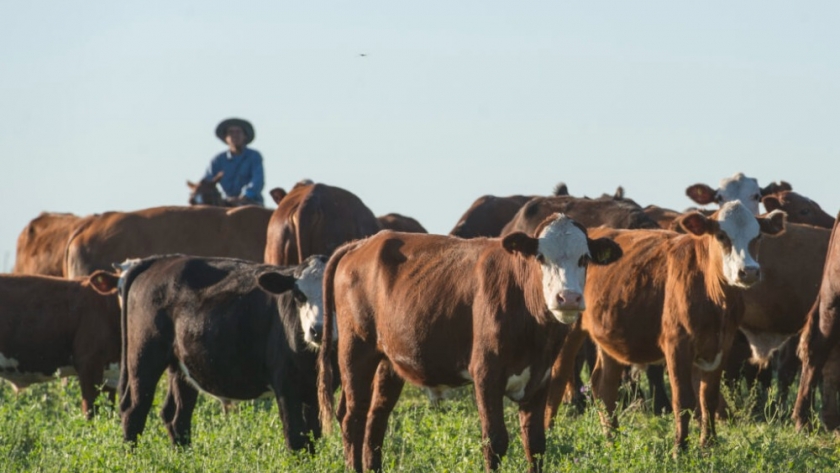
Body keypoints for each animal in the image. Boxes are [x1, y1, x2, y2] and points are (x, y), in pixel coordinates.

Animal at [318, 215, 620, 472]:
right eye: (541, 257)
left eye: (584, 258)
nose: (568, 298)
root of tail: (362, 243)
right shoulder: (486, 374)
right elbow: (495, 441)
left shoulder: (540, 377)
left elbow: (535, 444)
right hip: (356, 349)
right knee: (353, 417)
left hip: (389, 360)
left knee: (376, 418)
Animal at [560, 201, 784, 452]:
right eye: (721, 235)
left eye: (758, 236)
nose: (749, 271)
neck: (714, 298)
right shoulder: (677, 345)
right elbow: (683, 399)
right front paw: (680, 448)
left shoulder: (720, 346)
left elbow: (708, 398)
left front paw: (709, 445)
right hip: (566, 330)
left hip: (610, 341)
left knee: (604, 387)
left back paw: (612, 439)